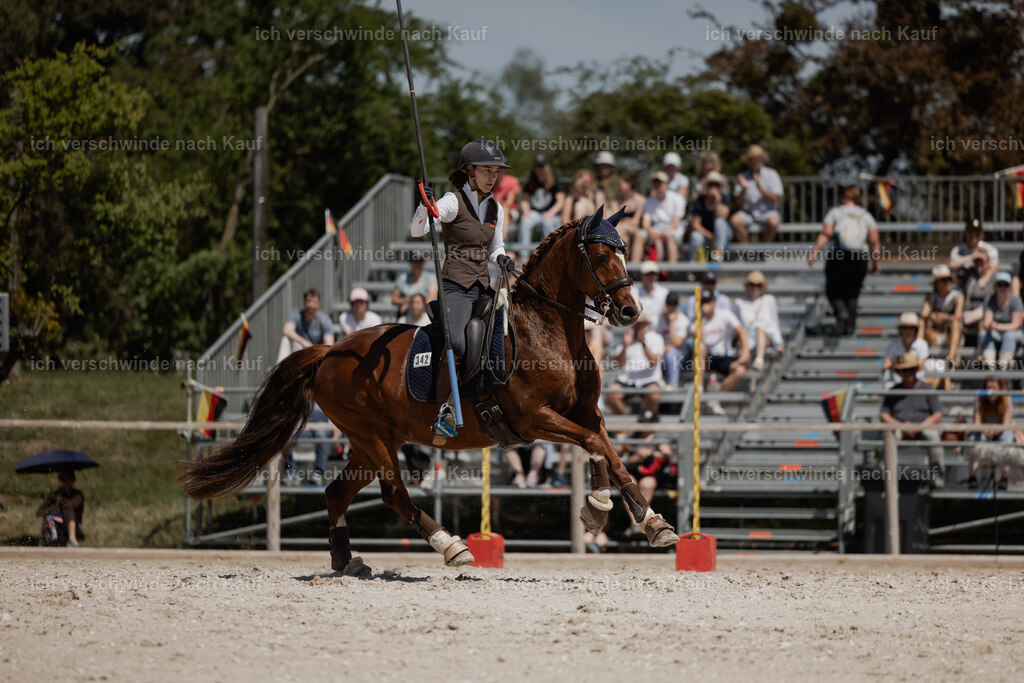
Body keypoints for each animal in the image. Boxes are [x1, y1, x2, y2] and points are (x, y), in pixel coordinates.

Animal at [180, 205, 681, 572]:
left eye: (624, 251)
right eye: (600, 255)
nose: (631, 312)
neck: (549, 329)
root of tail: (331, 351)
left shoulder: (584, 412)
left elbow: (610, 454)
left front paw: (650, 522)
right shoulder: (535, 418)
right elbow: (595, 445)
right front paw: (599, 506)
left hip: (372, 440)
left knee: (337, 494)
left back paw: (347, 561)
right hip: (372, 437)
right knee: (392, 494)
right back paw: (450, 545)